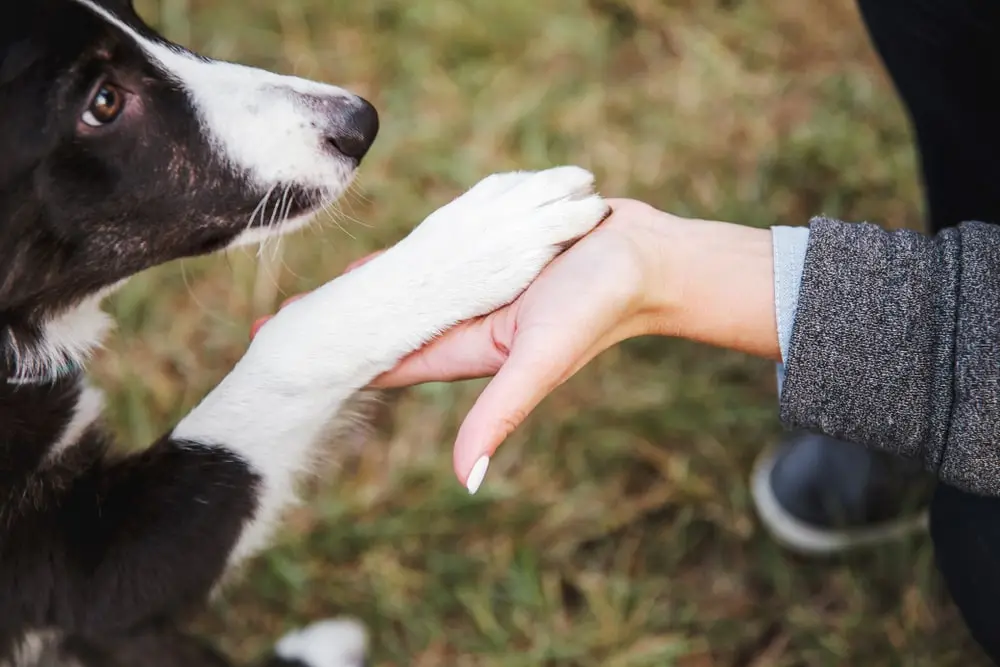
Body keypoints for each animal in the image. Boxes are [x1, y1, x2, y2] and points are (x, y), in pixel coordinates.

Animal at [0, 0, 608, 664]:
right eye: (104, 102)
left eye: (133, 12)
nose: (361, 122)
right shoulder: (89, 571)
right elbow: (284, 343)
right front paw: (475, 238)